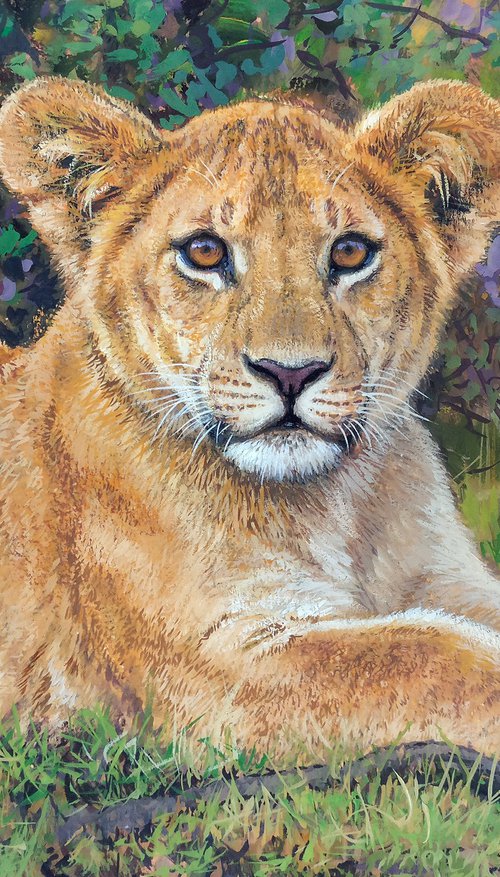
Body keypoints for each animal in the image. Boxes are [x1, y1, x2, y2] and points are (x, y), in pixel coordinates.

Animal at [0, 77, 499, 757]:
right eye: (205, 252)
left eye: (350, 252)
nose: (290, 373)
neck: (334, 505)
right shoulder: (213, 669)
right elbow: (426, 655)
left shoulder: (452, 582)